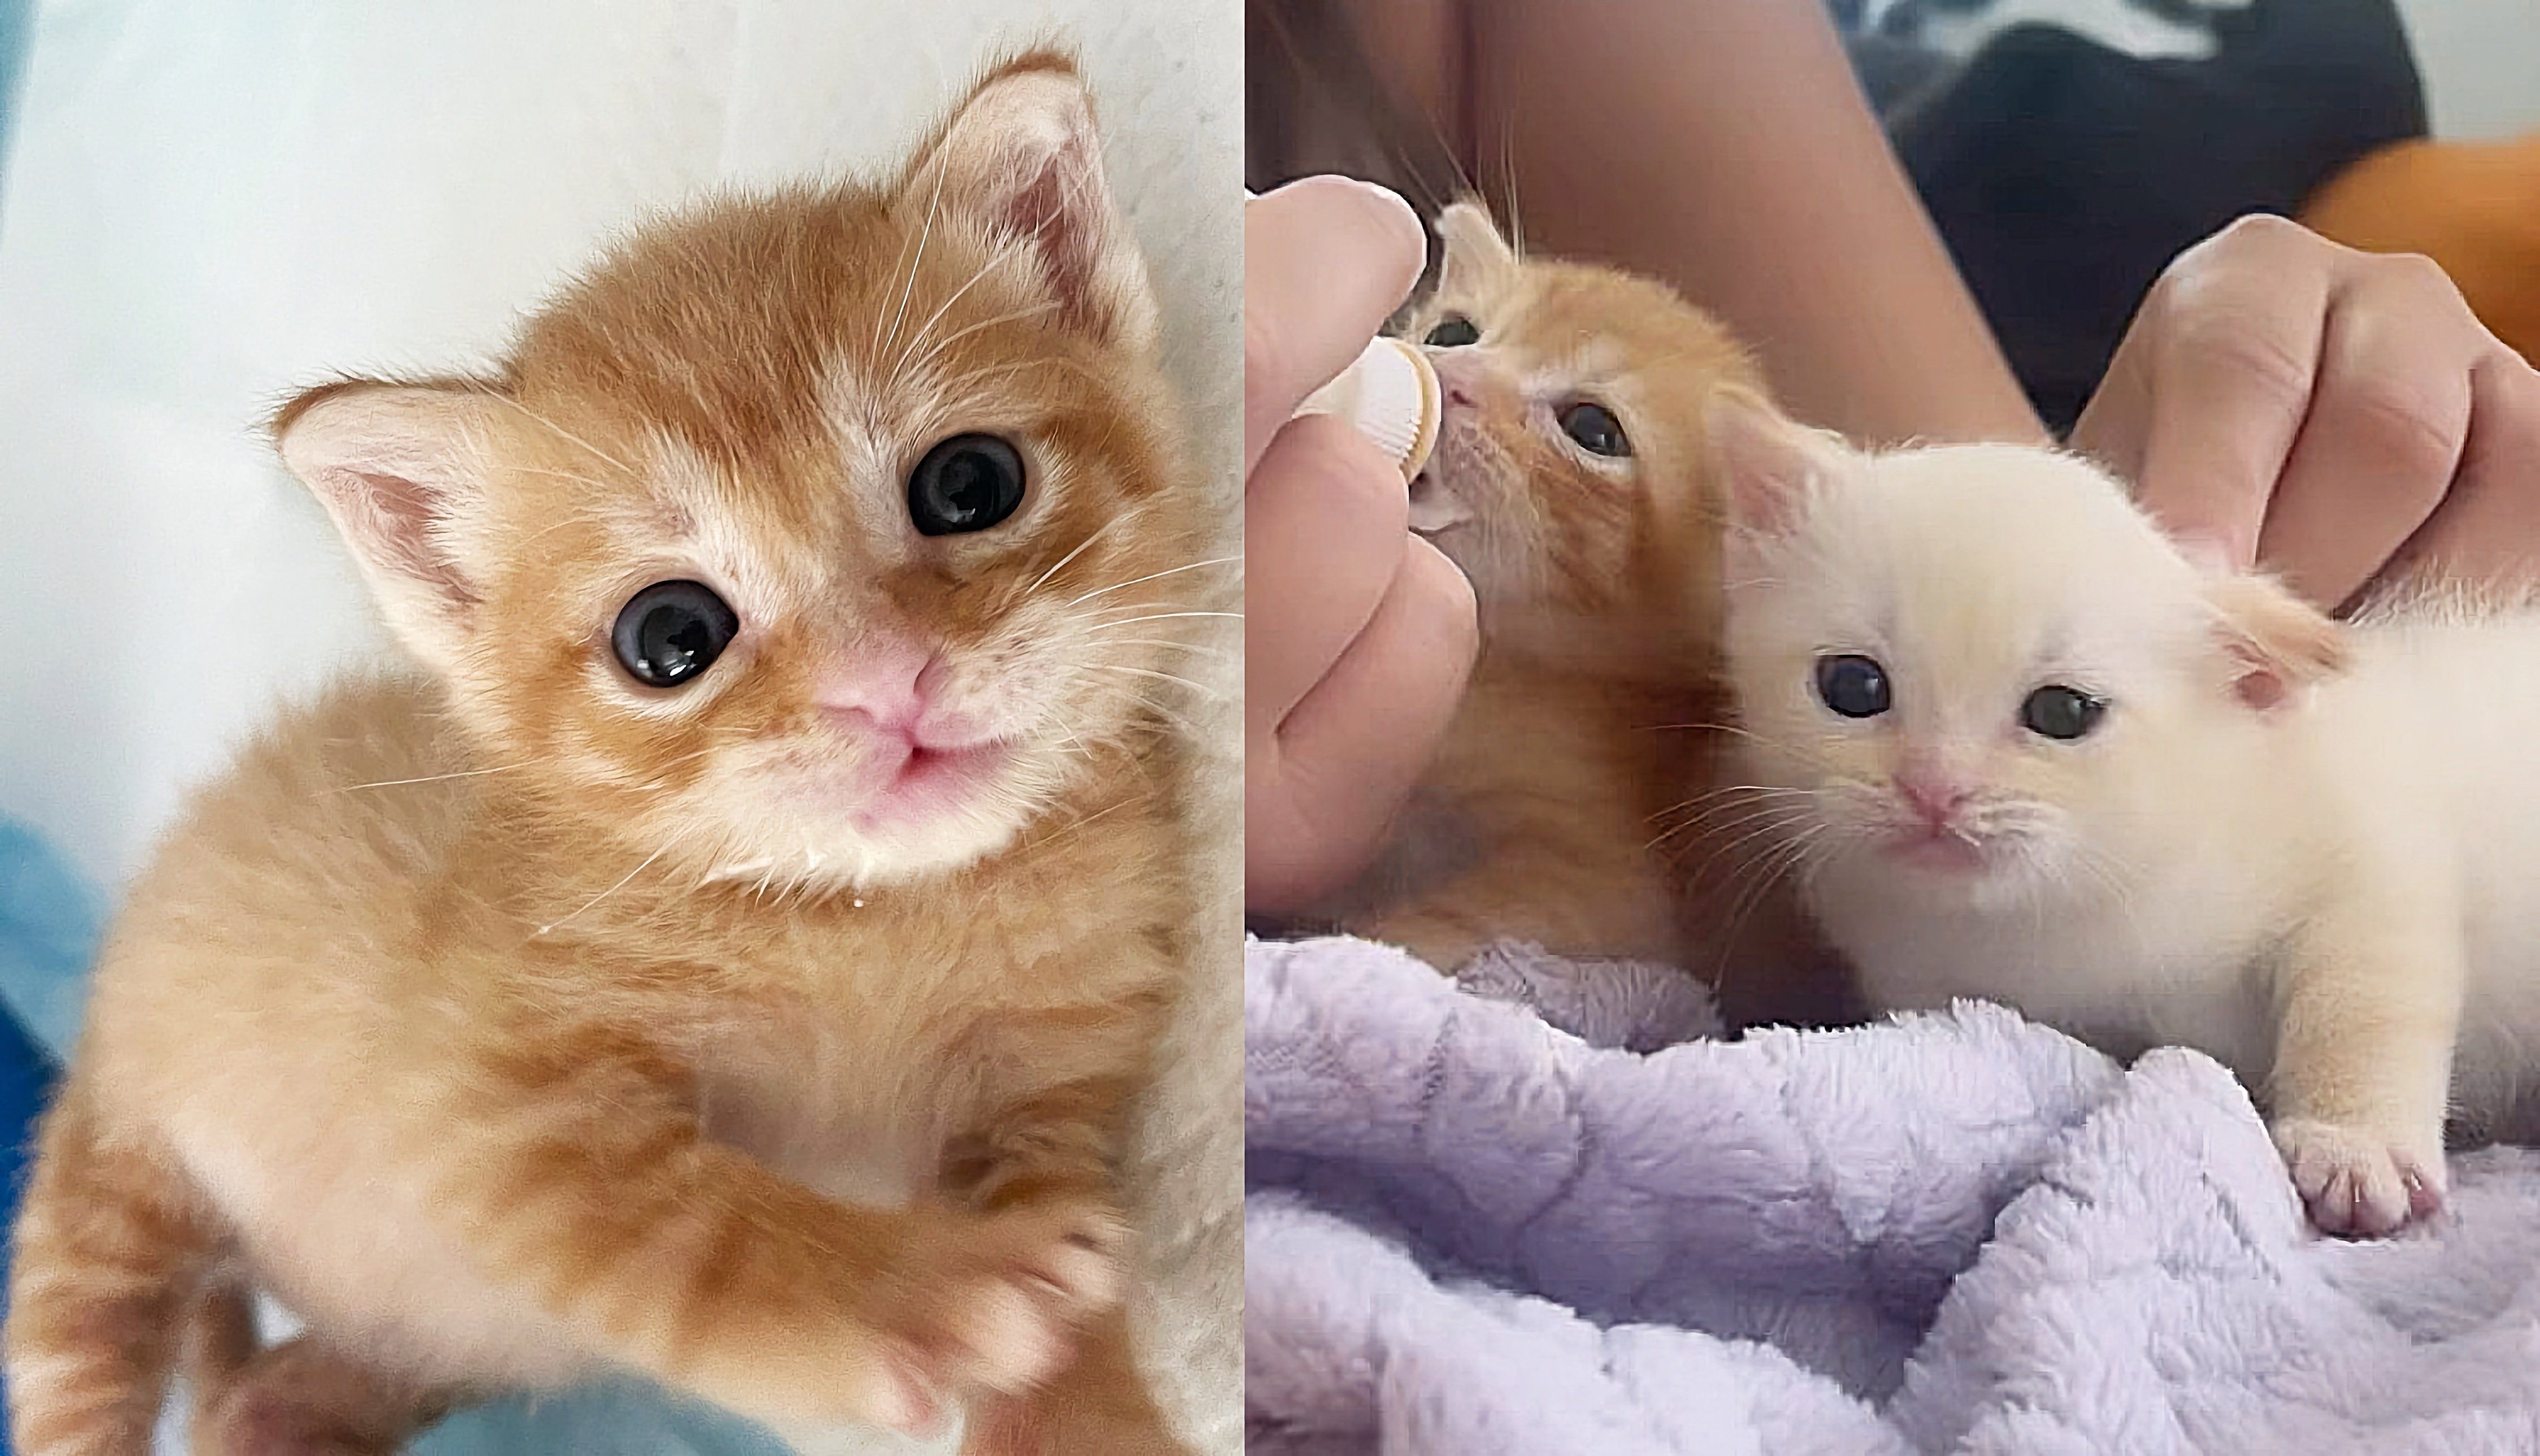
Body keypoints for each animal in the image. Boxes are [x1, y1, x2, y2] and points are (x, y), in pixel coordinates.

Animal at [5, 48, 1209, 1453]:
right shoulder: (481, 1102)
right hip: (109, 1186)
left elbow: (1066, 1262)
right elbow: (692, 1233)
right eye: (670, 637)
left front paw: (1091, 1404)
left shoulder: (1059, 1087)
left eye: (972, 484)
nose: (885, 684)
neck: (879, 918)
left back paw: (287, 1401)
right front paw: (916, 1290)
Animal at [1321, 198, 1778, 981]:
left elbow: (1446, 931)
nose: (1450, 373)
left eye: (1593, 429)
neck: (1496, 666)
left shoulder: (1609, 888)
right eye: (1454, 332)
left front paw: (1356, 959)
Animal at [1707, 393, 2540, 1240]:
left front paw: (2356, 1146)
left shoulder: (2376, 857)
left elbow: (2364, 1004)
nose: (1934, 789)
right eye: (1853, 686)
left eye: (2063, 713)